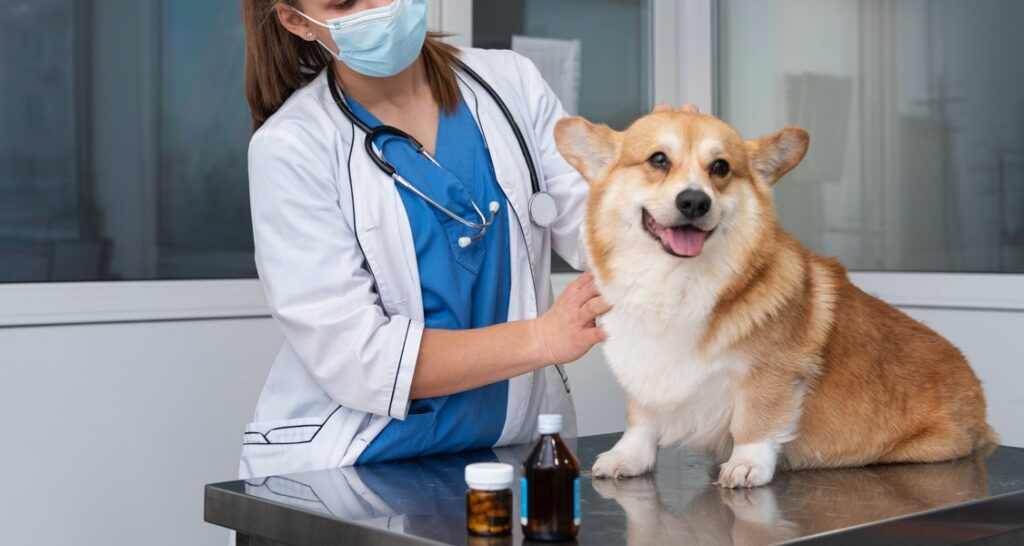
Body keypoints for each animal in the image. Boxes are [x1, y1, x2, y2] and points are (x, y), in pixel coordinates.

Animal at [557, 110, 995, 485]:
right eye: (658, 159)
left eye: (720, 168)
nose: (694, 201)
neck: (676, 283)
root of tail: (977, 389)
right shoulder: (644, 372)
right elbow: (641, 419)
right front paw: (628, 457)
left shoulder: (771, 372)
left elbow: (755, 420)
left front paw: (747, 464)